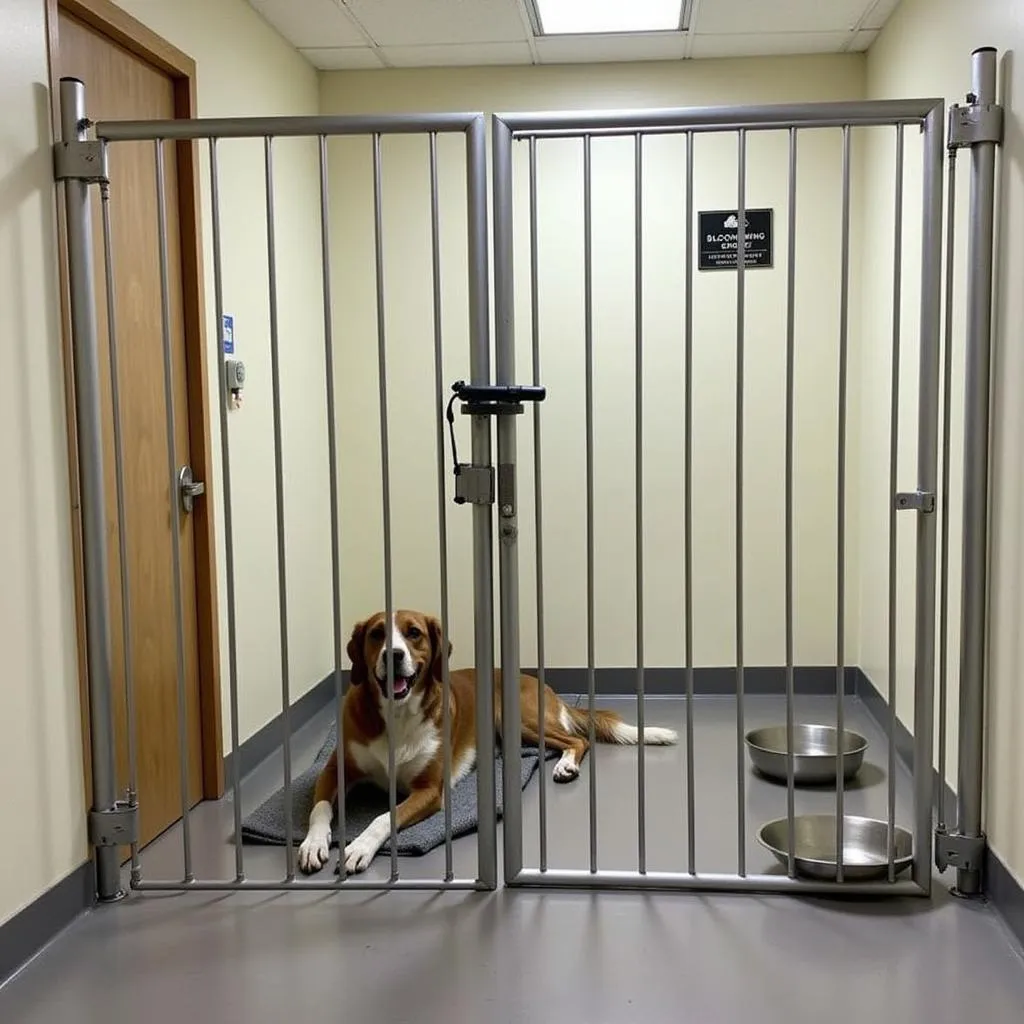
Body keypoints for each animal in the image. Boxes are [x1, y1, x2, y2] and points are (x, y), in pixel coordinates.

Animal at [296, 610, 679, 876]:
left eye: (413, 633)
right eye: (377, 633)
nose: (393, 655)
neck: (396, 714)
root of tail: (539, 682)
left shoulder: (430, 790)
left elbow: (382, 817)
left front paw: (358, 847)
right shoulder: (335, 769)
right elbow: (320, 808)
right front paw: (313, 843)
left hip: (519, 720)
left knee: (578, 739)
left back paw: (565, 765)